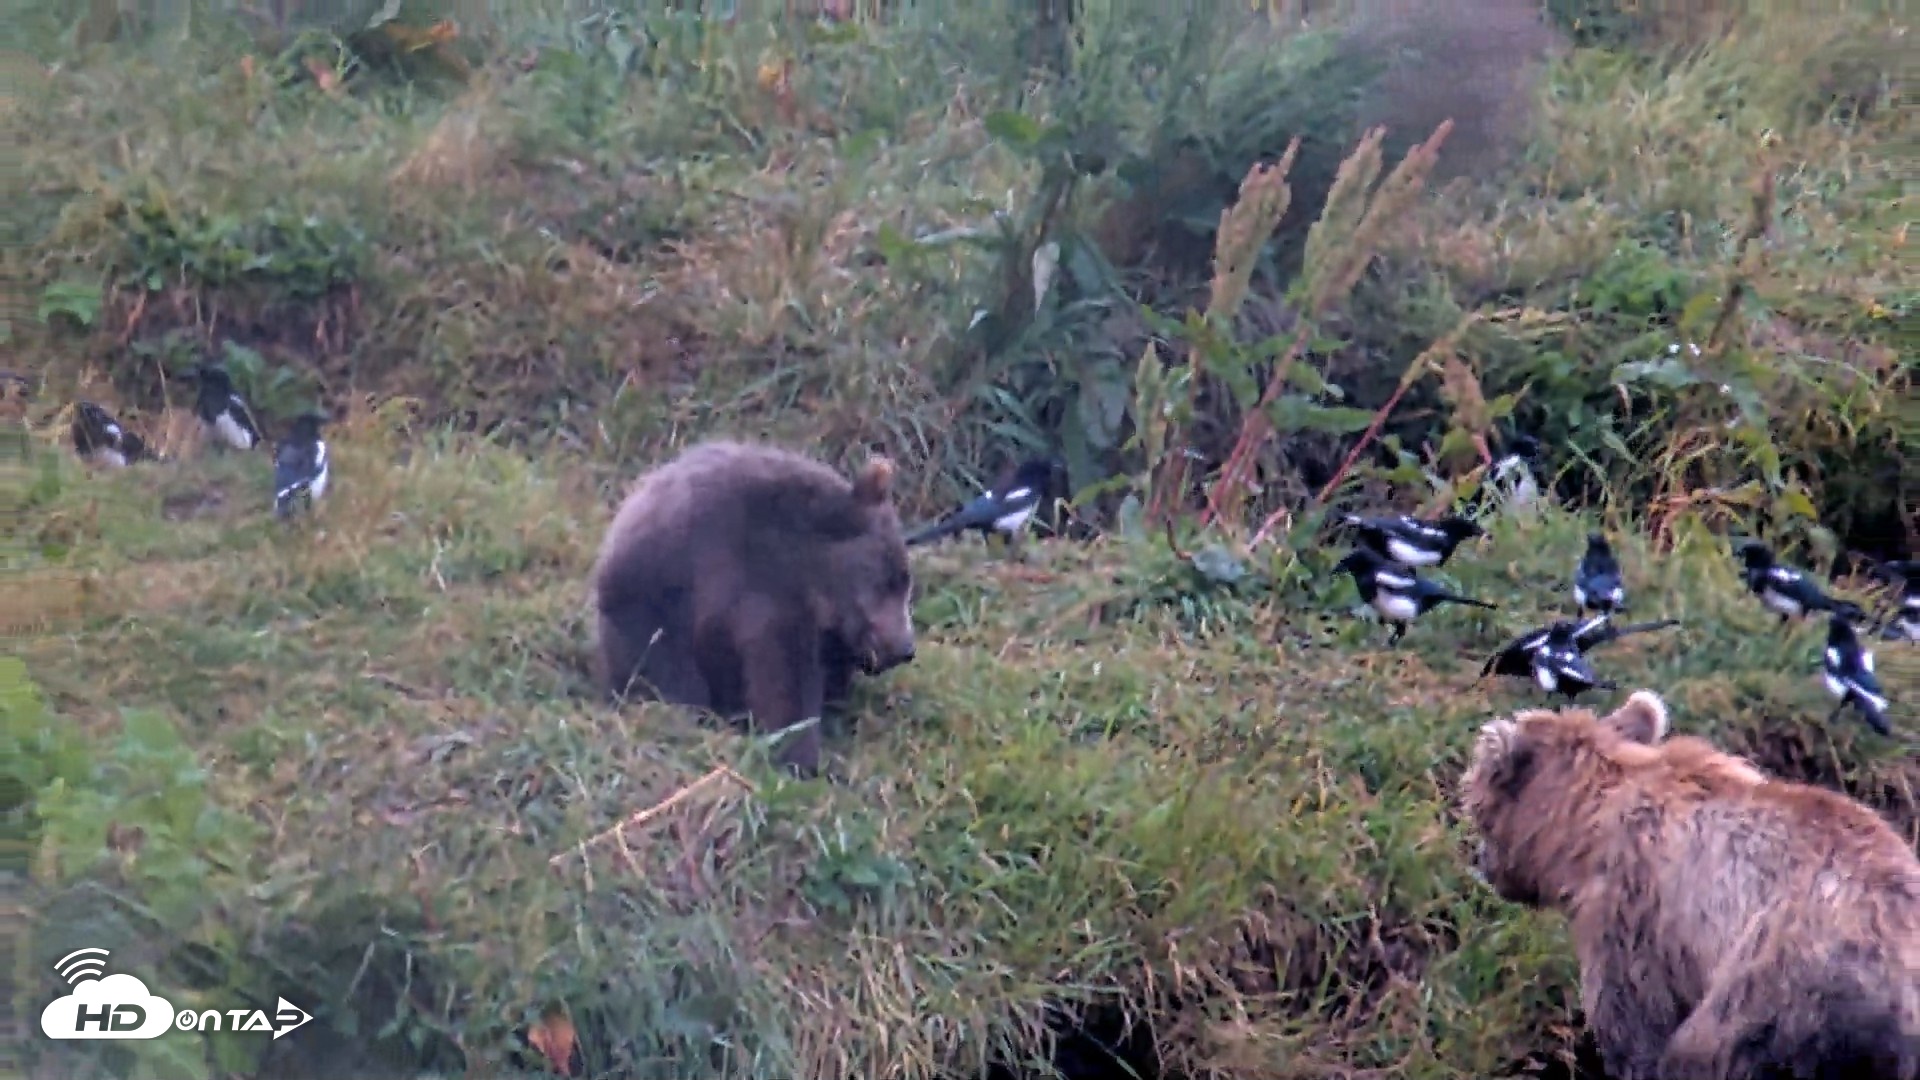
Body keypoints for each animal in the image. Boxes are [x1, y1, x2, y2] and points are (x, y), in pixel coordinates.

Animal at [589, 439, 918, 777]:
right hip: (652, 598)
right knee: (664, 663)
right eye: (887, 582)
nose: (905, 648)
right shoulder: (763, 592)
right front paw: (800, 755)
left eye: (906, 582)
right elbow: (784, 679)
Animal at [1459, 690, 1920, 1080]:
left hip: (1783, 985)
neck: (1587, 825)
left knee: (1707, 1051)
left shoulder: (1634, 911)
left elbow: (1633, 1021)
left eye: (1476, 806)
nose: (1482, 864)